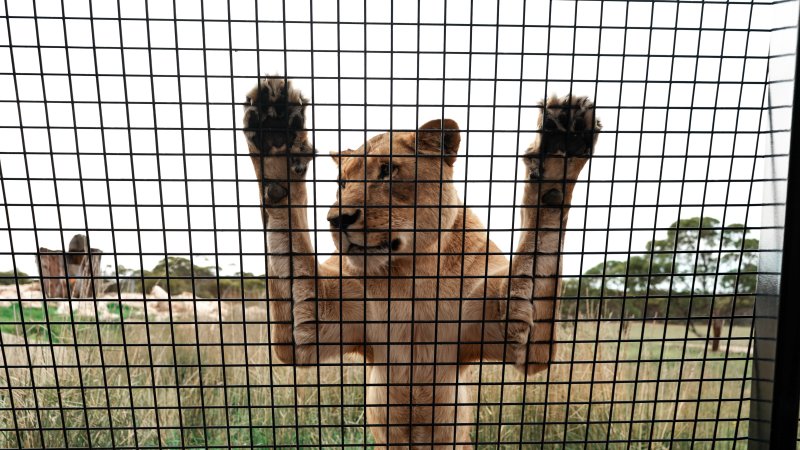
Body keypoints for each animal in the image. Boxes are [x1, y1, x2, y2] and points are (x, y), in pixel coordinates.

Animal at [242, 76, 600, 449]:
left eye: (387, 171)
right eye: (342, 182)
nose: (337, 220)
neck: (410, 274)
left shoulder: (520, 334)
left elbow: (544, 226)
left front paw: (560, 146)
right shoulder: (308, 329)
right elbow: (284, 218)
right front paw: (274, 130)